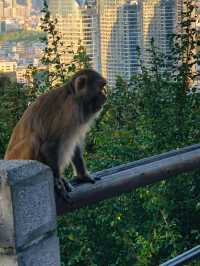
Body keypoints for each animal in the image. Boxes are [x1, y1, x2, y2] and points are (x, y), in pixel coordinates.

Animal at [4, 68, 106, 200]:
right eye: (100, 88)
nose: (105, 96)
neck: (74, 96)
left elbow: (75, 144)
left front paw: (83, 175)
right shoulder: (70, 111)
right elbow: (49, 145)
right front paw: (57, 181)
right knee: (34, 139)